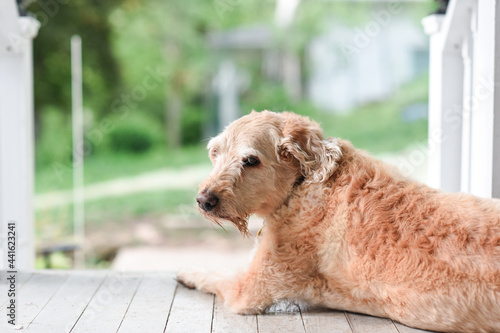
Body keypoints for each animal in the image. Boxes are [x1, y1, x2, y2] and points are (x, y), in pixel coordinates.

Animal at [177, 110, 500, 330]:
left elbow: (214, 274)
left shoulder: (248, 290)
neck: (301, 184)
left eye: (250, 161)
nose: (204, 201)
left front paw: (188, 272)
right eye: (215, 153)